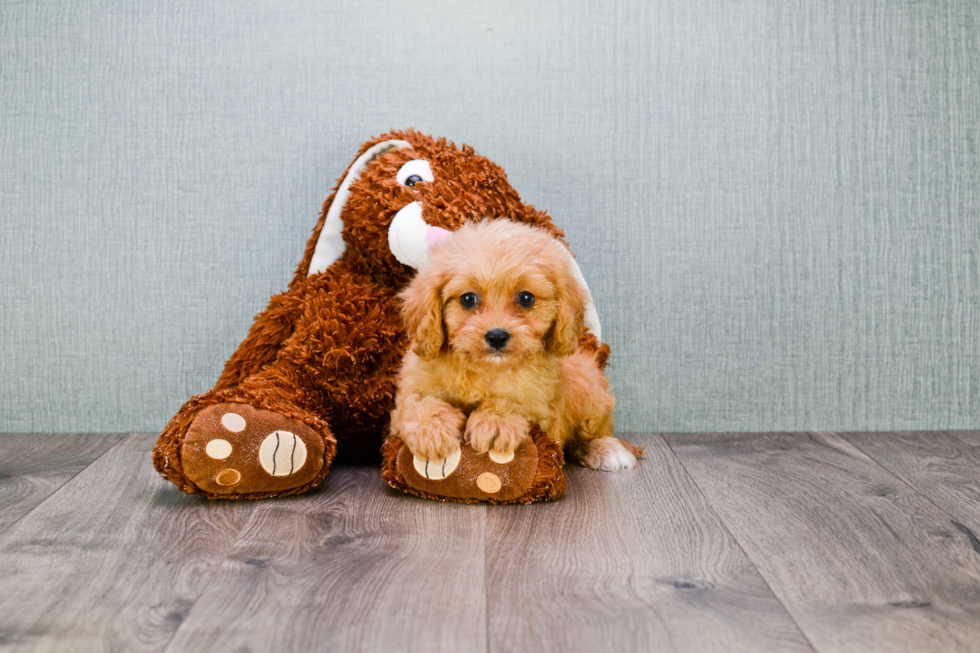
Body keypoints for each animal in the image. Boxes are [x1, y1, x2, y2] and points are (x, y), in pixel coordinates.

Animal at [390, 219, 644, 468]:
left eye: (526, 298)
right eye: (467, 299)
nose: (497, 336)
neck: (486, 369)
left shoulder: (539, 403)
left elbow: (514, 401)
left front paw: (496, 422)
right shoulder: (412, 386)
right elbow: (418, 402)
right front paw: (431, 430)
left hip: (587, 383)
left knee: (595, 430)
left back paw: (607, 450)